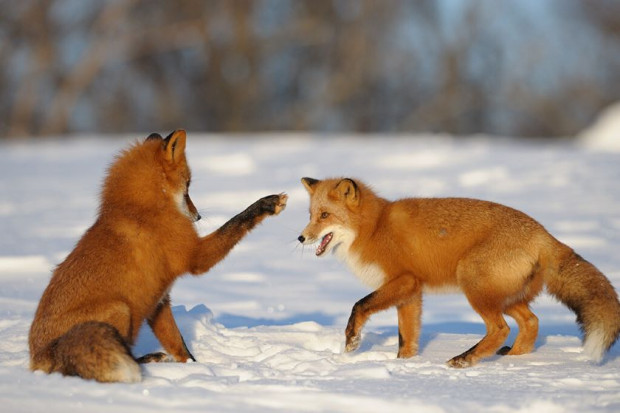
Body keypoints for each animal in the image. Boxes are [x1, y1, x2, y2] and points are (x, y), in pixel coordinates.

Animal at [29, 130, 288, 382]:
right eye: (188, 186)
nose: (198, 217)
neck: (142, 209)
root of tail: (38, 357)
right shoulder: (196, 256)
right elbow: (235, 223)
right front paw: (266, 204)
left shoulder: (159, 300)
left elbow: (178, 343)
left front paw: (196, 367)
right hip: (120, 309)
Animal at [296, 175, 620, 366]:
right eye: (310, 215)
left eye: (325, 215)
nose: (300, 238)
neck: (374, 228)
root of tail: (542, 232)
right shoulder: (411, 293)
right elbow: (407, 338)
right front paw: (404, 367)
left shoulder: (403, 280)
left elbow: (359, 305)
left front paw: (352, 341)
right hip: (506, 296)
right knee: (532, 322)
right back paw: (514, 360)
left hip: (473, 283)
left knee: (501, 328)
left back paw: (466, 359)